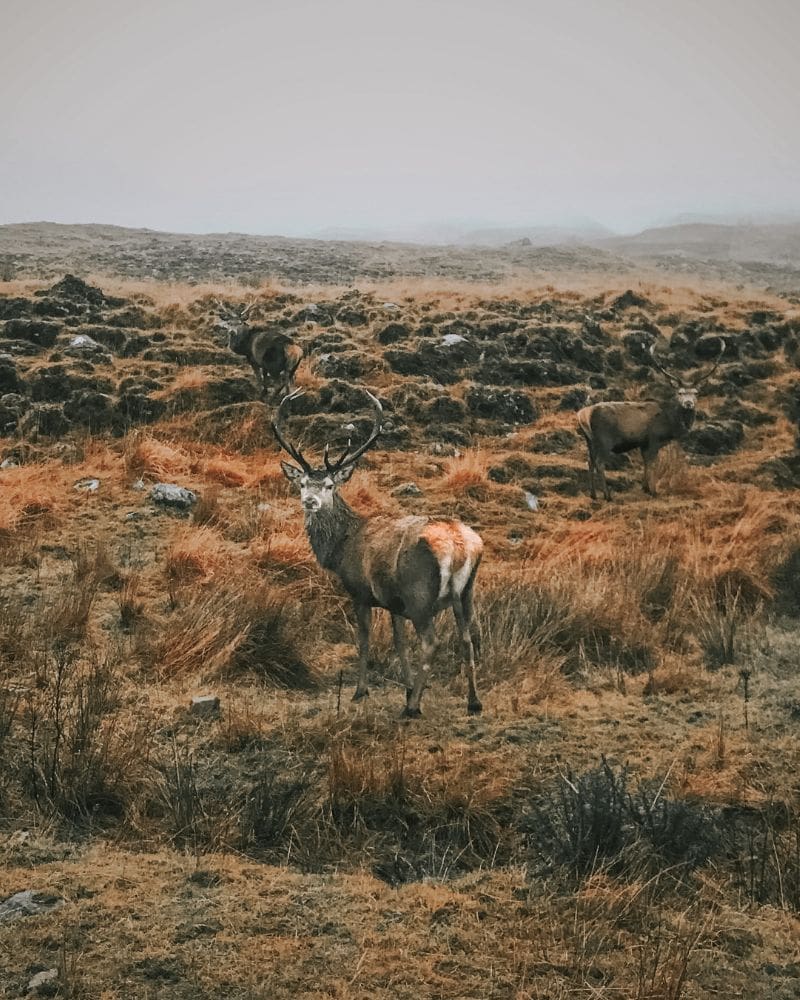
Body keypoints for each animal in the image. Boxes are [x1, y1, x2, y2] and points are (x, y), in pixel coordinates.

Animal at [273, 389, 484, 718]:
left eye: (330, 485)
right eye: (304, 483)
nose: (310, 501)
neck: (340, 549)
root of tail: (459, 544)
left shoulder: (360, 591)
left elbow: (364, 640)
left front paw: (361, 691)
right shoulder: (394, 601)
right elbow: (399, 642)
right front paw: (407, 687)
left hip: (420, 592)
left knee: (431, 642)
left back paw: (413, 708)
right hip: (465, 593)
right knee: (468, 638)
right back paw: (473, 702)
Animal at [577, 341, 726, 500]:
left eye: (696, 393)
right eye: (680, 393)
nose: (688, 403)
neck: (671, 423)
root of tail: (582, 415)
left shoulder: (643, 443)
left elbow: (645, 463)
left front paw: (645, 488)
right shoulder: (654, 438)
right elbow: (652, 463)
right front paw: (654, 491)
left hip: (590, 440)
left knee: (590, 462)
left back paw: (593, 494)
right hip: (604, 439)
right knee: (599, 463)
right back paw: (607, 495)